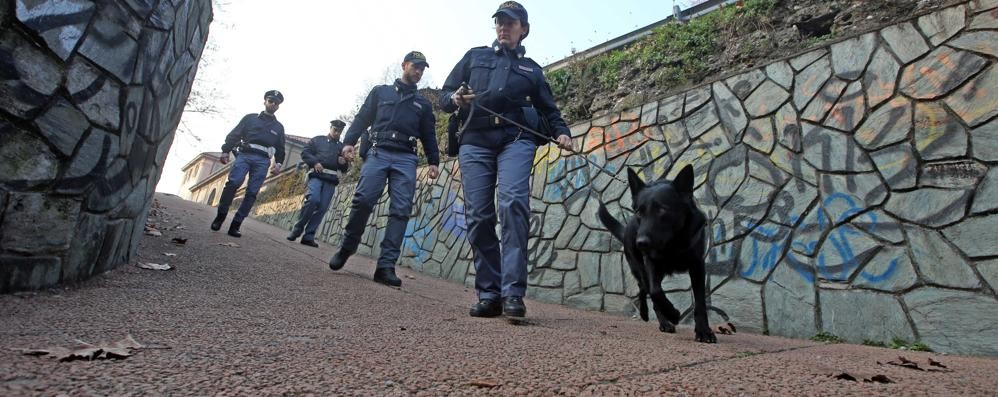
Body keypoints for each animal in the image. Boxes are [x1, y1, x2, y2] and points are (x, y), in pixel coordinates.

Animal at [596, 164, 716, 344]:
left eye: (662, 210)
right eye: (639, 212)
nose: (640, 243)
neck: (673, 243)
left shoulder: (697, 266)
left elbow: (700, 302)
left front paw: (703, 331)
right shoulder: (650, 263)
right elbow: (655, 292)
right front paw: (673, 314)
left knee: (643, 288)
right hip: (640, 267)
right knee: (645, 287)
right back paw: (658, 319)